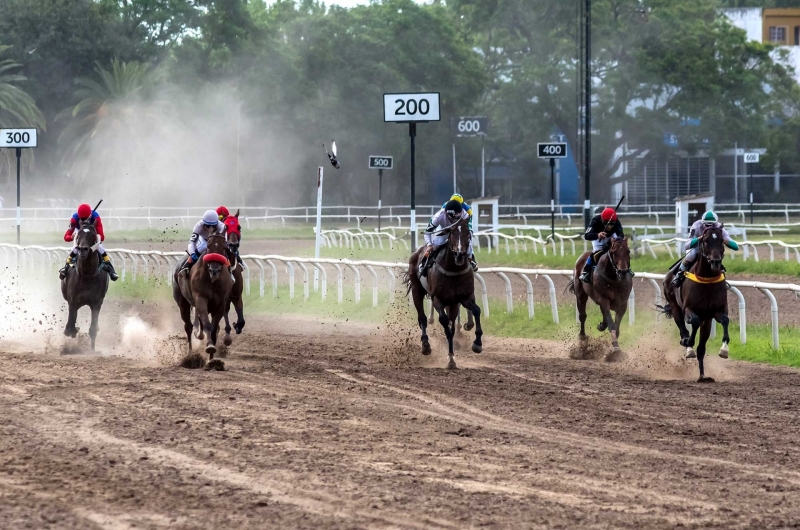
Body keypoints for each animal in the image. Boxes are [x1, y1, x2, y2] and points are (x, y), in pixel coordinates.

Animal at [60, 220, 108, 348]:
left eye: (92, 235)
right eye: (78, 235)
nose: (82, 249)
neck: (87, 275)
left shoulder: (97, 303)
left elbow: (93, 329)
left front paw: (92, 350)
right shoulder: (73, 302)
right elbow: (70, 327)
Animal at [404, 214, 484, 368]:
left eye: (468, 233)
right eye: (452, 233)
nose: (460, 254)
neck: (454, 269)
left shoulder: (465, 298)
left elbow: (476, 311)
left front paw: (477, 344)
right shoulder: (437, 299)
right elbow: (444, 321)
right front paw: (450, 358)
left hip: (453, 304)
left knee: (451, 324)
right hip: (417, 290)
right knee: (422, 318)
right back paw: (426, 345)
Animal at [664, 224, 732, 380]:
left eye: (721, 240)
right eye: (706, 241)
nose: (715, 262)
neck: (707, 279)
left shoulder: (717, 311)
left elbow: (725, 320)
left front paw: (724, 349)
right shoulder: (689, 309)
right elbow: (693, 322)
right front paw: (688, 343)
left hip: (707, 321)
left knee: (701, 348)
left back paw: (702, 375)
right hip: (674, 305)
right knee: (683, 328)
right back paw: (687, 345)